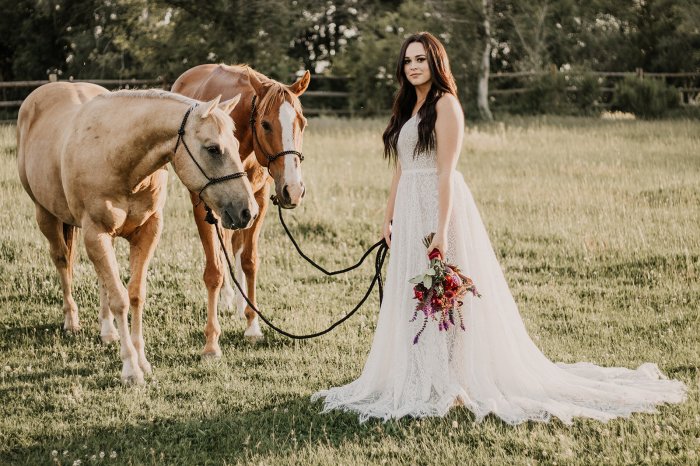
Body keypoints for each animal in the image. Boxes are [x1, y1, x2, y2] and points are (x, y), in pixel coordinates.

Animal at [16, 83, 258, 382]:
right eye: (213, 149)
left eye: (236, 145)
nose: (248, 211)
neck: (118, 157)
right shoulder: (96, 233)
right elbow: (119, 299)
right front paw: (131, 368)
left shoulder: (146, 232)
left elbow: (135, 294)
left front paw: (142, 360)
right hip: (47, 217)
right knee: (62, 261)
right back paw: (71, 320)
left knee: (101, 280)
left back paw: (108, 331)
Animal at [172, 64, 308, 356]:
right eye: (265, 124)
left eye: (302, 123)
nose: (293, 190)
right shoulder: (203, 206)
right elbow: (213, 270)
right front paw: (211, 341)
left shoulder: (258, 202)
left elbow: (248, 260)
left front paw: (252, 325)